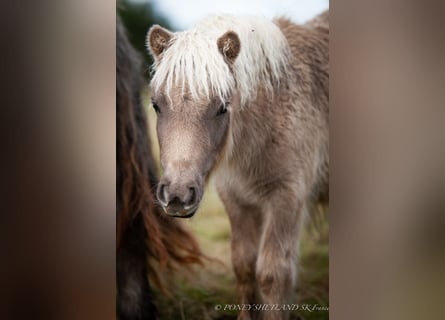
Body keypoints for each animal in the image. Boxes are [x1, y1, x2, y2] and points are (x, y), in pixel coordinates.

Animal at [147, 11, 328, 318]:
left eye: (222, 107)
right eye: (156, 105)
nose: (177, 196)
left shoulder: (287, 198)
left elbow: (272, 275)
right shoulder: (235, 197)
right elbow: (243, 266)